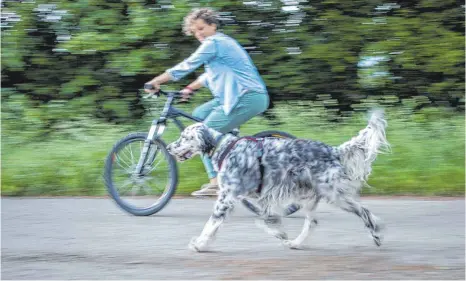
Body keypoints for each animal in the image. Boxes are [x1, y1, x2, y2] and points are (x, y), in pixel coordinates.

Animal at [167, 109, 390, 252]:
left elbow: (211, 224)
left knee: (364, 211)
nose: (168, 147)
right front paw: (279, 232)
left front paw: (200, 244)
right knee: (312, 222)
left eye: (185, 137)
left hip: (334, 194)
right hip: (309, 197)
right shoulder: (259, 197)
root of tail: (334, 150)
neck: (225, 148)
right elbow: (267, 219)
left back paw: (378, 235)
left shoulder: (227, 197)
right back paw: (296, 243)